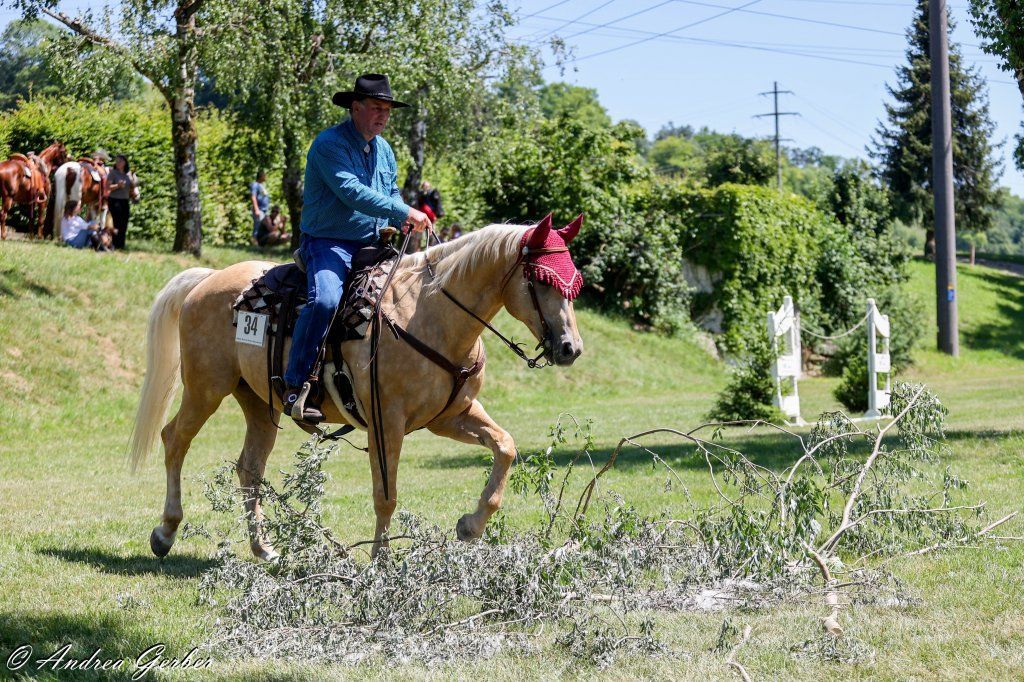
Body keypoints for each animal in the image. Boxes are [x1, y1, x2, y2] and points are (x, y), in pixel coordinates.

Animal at [127, 215, 585, 561]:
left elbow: (505, 446)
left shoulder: (451, 416)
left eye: (574, 281)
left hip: (259, 403)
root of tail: (208, 279)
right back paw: (165, 532)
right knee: (174, 439)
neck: (429, 312)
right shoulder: (388, 423)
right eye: (541, 280)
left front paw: (470, 526)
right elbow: (386, 495)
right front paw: (381, 562)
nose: (571, 348)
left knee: (249, 468)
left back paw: (263, 548)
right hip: (206, 387)